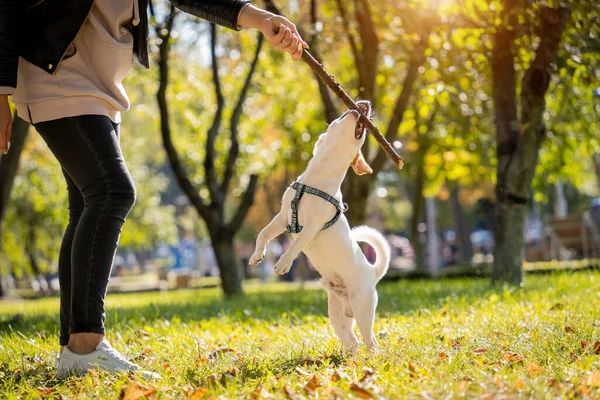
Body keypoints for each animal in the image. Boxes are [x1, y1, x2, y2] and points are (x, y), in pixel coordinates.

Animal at [251, 101, 392, 352]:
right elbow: (263, 234)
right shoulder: (283, 217)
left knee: (371, 341)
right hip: (338, 315)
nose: (366, 103)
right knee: (352, 341)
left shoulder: (312, 227)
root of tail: (373, 272)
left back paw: (373, 356)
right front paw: (257, 255)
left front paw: (283, 264)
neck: (315, 180)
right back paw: (349, 358)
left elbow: (294, 246)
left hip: (363, 309)